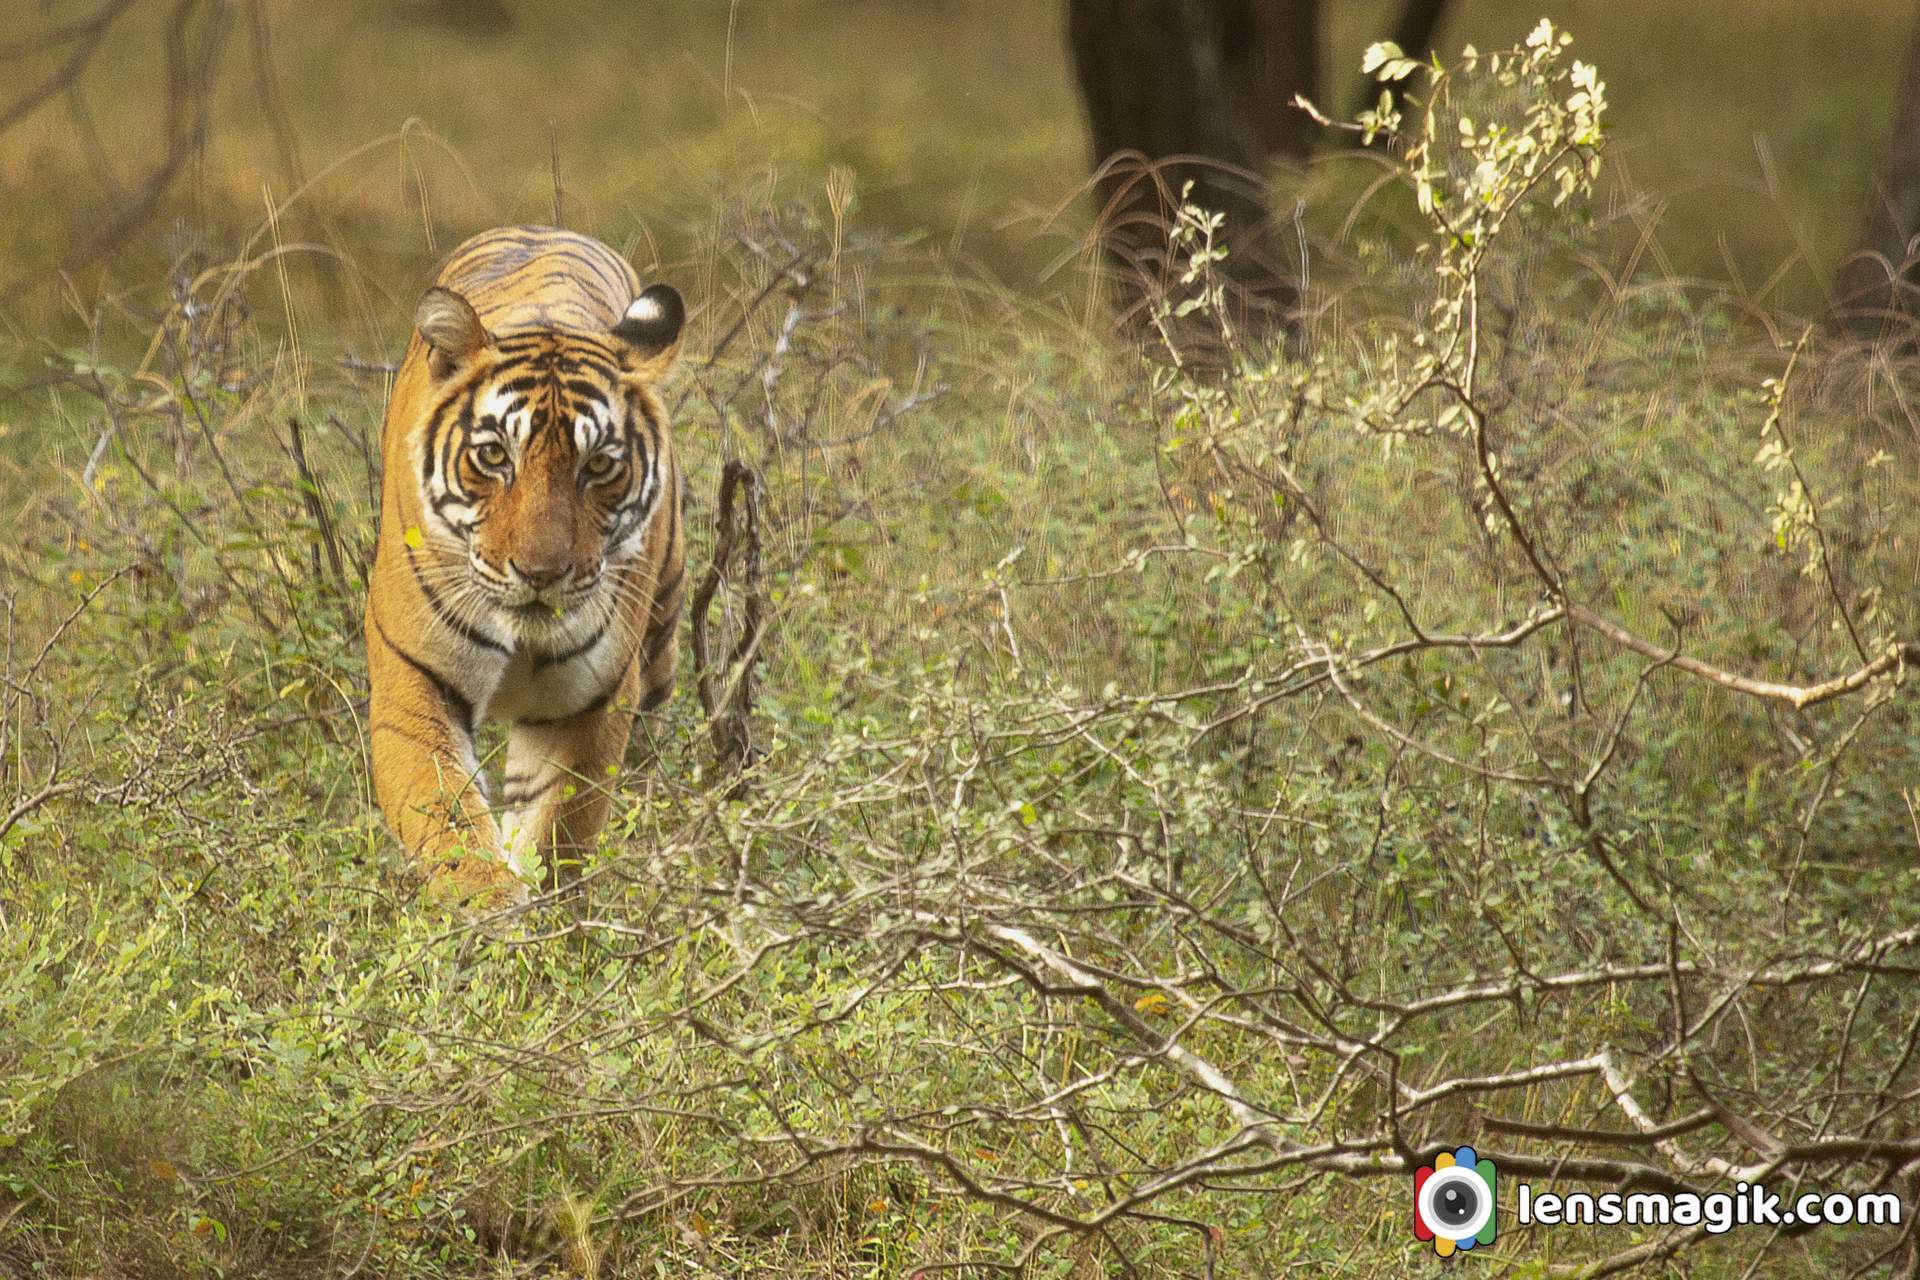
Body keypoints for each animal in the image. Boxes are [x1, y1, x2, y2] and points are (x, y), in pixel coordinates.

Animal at [362, 230, 687, 909]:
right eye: (493, 456)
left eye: (599, 465)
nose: (541, 573)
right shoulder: (413, 683)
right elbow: (446, 820)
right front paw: (489, 910)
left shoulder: (589, 700)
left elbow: (558, 827)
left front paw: (547, 918)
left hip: (662, 636)